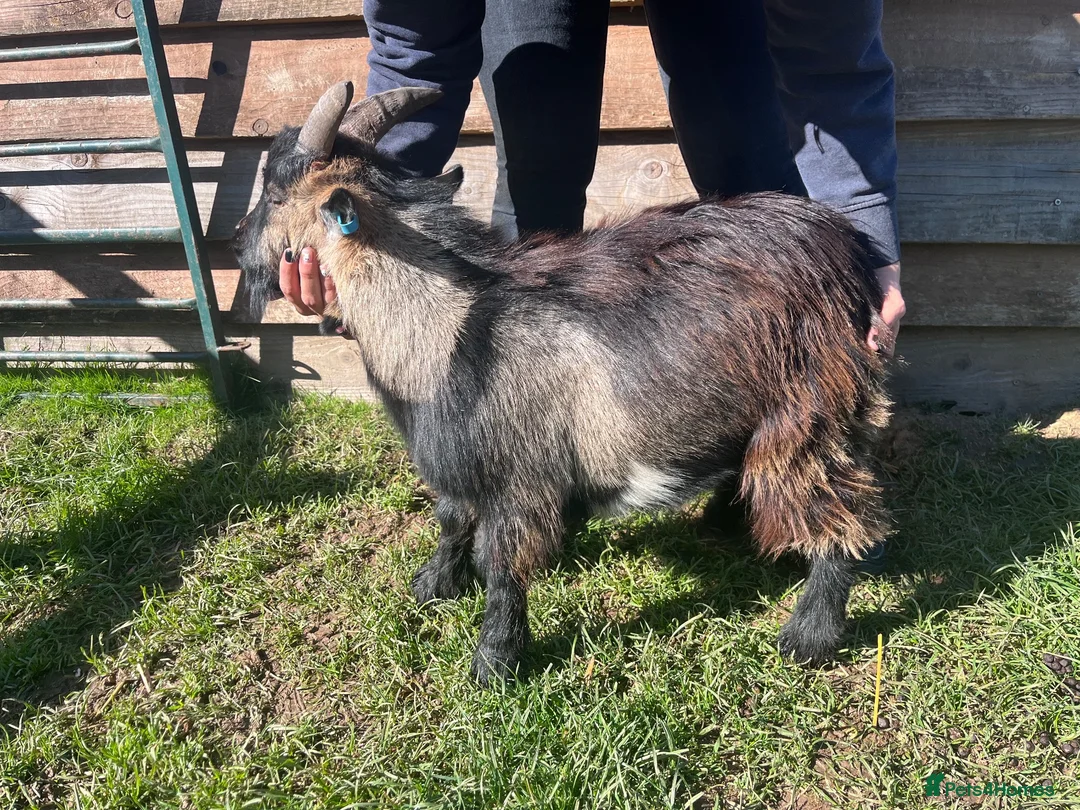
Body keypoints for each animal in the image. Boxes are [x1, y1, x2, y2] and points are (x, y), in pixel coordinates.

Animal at [234, 82, 891, 685]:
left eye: (274, 191)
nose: (237, 243)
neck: (451, 325)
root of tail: (848, 247)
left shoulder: (519, 477)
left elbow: (499, 564)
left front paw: (494, 664)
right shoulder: (463, 457)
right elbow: (451, 519)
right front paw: (433, 586)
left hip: (807, 408)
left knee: (841, 517)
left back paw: (808, 637)